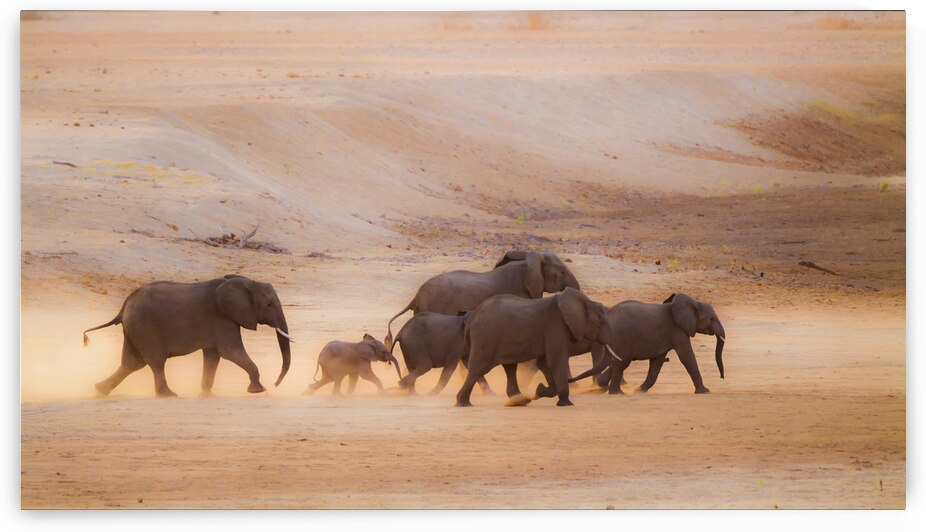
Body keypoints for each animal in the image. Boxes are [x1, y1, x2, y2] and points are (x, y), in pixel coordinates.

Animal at [82, 274, 293, 398]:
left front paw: (207, 394)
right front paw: (259, 390)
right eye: (268, 305)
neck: (245, 281)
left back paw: (100, 390)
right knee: (155, 362)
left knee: (132, 363)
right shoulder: (222, 318)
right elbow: (230, 352)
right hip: (145, 327)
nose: (275, 384)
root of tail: (125, 303)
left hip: (133, 328)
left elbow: (213, 355)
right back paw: (168, 395)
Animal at [456, 287, 618, 407]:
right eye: (601, 321)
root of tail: (473, 317)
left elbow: (544, 363)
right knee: (478, 369)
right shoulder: (555, 326)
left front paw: (539, 391)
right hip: (486, 337)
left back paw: (519, 400)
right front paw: (566, 403)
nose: (571, 380)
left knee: (510, 367)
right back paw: (463, 403)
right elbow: (555, 362)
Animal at [570, 293, 726, 394]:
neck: (693, 302)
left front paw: (639, 390)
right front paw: (705, 391)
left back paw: (604, 387)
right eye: (711, 319)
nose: (722, 377)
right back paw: (616, 393)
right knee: (621, 363)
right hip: (622, 337)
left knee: (617, 362)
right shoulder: (677, 330)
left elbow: (657, 361)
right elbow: (686, 356)